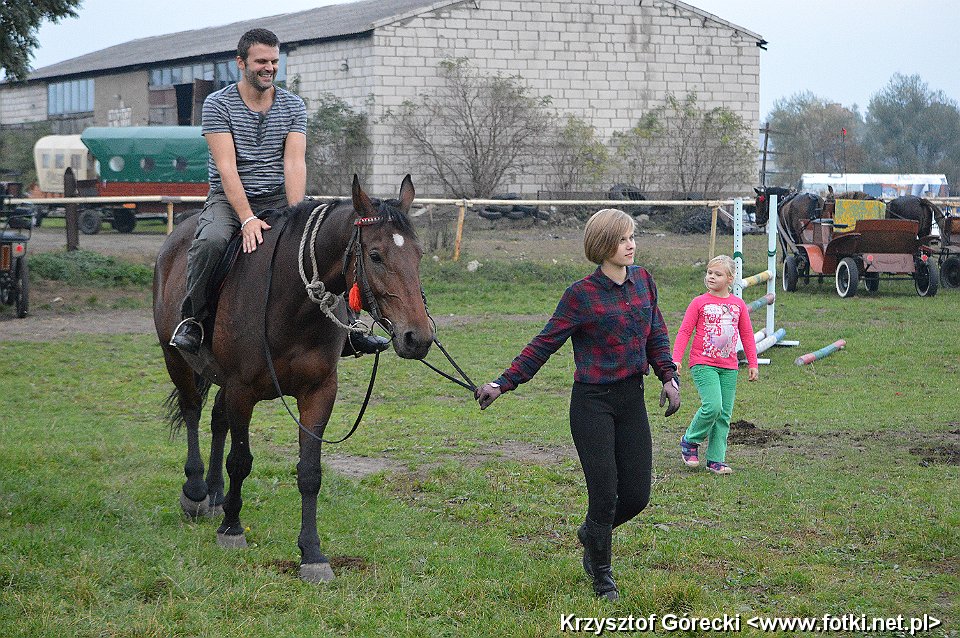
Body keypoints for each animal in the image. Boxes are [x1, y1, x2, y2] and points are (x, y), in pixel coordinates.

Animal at [153, 175, 435, 583]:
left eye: (418, 255)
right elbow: (241, 460)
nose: (419, 337)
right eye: (376, 255)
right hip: (176, 358)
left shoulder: (318, 392)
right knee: (192, 411)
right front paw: (232, 530)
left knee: (217, 419)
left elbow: (310, 473)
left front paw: (312, 554)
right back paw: (196, 492)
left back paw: (217, 495)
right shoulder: (242, 390)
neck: (290, 302)